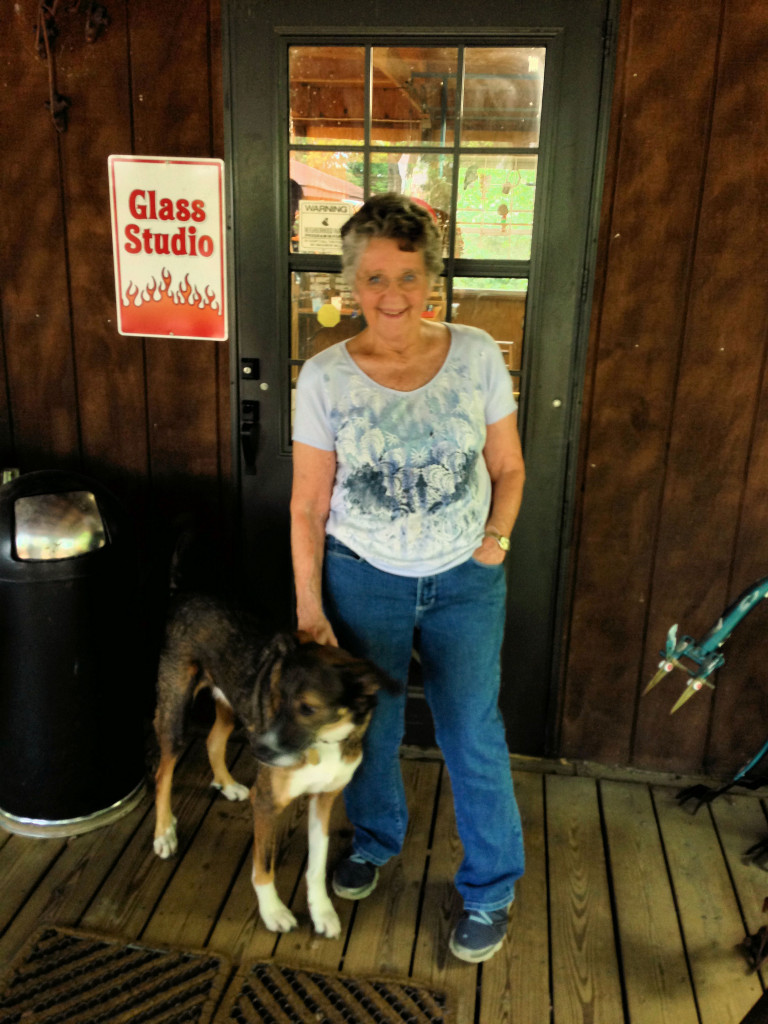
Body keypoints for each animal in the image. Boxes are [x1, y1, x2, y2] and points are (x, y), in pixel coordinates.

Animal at [152, 591, 396, 938]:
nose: (259, 752)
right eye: (276, 697)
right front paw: (273, 912)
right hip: (176, 711)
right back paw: (164, 833)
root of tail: (188, 596)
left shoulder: (324, 799)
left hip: (229, 703)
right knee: (163, 772)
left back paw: (227, 784)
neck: (323, 741)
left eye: (309, 708)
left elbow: (317, 863)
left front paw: (322, 911)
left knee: (213, 740)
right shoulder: (266, 803)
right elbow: (264, 866)